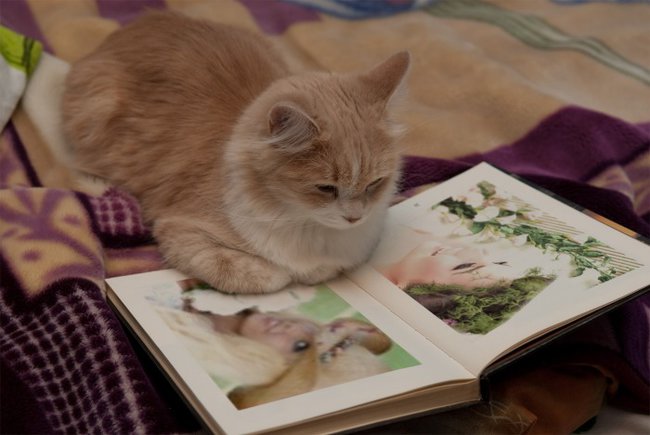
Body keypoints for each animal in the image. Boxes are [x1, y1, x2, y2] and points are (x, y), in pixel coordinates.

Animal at [62, 11, 410, 294]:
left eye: (375, 184)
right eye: (326, 188)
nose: (355, 217)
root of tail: (139, 23)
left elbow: (325, 269)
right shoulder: (179, 229)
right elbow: (258, 273)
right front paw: (284, 273)